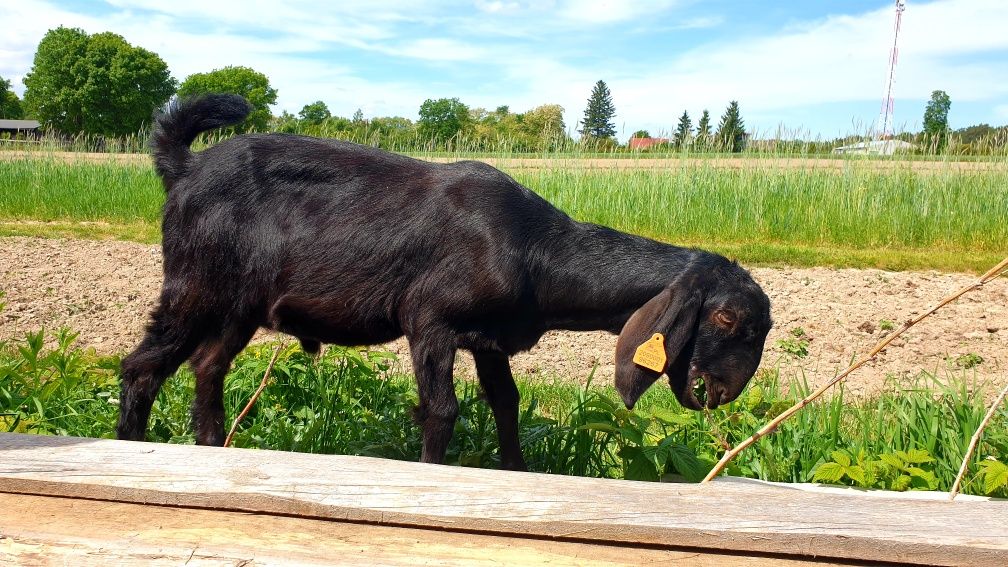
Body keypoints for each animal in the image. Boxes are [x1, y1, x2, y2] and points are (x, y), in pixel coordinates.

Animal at [119, 94, 778, 470]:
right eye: (726, 318)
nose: (722, 392)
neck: (534, 248)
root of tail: (184, 168)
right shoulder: (431, 321)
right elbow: (442, 410)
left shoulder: (488, 340)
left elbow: (507, 404)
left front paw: (515, 471)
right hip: (193, 285)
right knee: (142, 367)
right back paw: (131, 448)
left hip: (239, 305)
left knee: (208, 365)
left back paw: (211, 451)